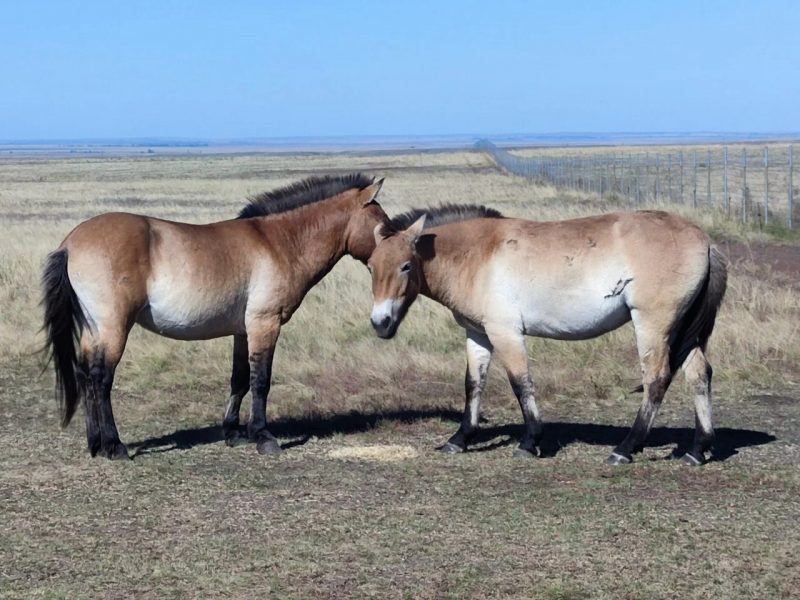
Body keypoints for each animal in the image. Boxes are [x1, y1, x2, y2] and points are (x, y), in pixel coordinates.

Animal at [41, 173, 389, 459]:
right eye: (384, 226)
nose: (397, 262)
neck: (278, 241)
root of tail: (70, 244)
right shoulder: (265, 324)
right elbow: (261, 380)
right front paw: (263, 437)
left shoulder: (243, 331)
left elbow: (240, 379)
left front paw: (234, 433)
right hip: (114, 328)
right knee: (101, 379)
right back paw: (113, 446)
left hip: (93, 330)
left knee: (85, 375)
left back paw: (95, 444)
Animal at [367, 205, 727, 465]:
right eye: (371, 266)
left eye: (406, 266)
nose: (380, 322)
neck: (478, 254)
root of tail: (704, 239)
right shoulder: (478, 334)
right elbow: (473, 385)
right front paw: (459, 440)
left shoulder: (506, 333)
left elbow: (521, 383)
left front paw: (530, 442)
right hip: (682, 329)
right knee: (699, 375)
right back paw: (698, 450)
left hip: (653, 324)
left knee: (656, 379)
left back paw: (625, 449)